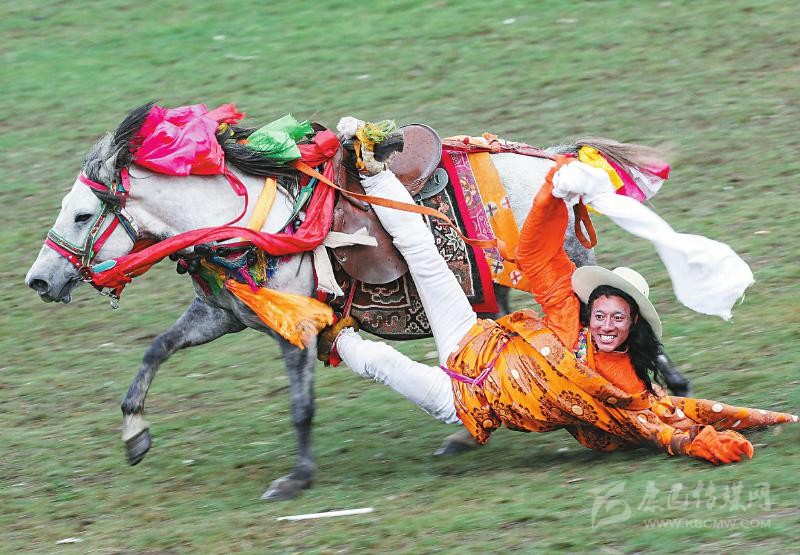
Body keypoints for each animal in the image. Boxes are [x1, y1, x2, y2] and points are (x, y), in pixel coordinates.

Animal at [25, 103, 689, 500]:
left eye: (82, 215)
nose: (39, 281)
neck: (248, 223)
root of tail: (553, 160)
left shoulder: (294, 327)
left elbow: (300, 406)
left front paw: (296, 478)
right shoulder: (221, 315)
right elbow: (154, 352)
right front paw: (135, 435)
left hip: (552, 264)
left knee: (603, 303)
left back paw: (665, 382)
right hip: (499, 286)